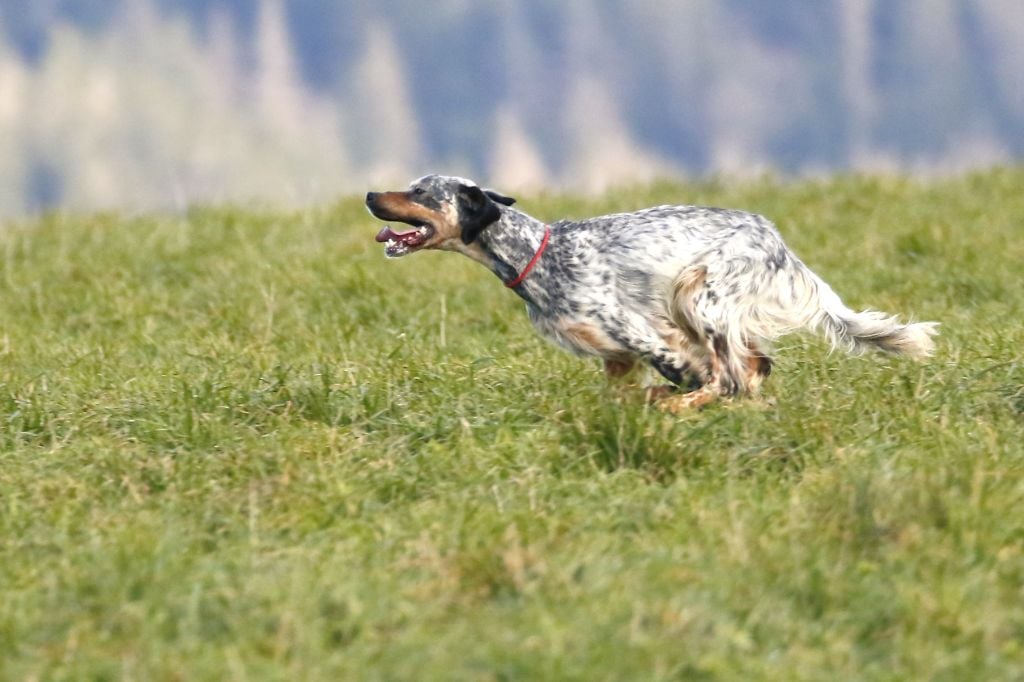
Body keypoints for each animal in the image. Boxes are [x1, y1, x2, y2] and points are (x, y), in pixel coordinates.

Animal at [364, 174, 937, 409]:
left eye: (420, 191)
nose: (369, 194)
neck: (538, 255)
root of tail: (776, 238)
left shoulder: (645, 336)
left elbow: (702, 377)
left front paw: (672, 402)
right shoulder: (615, 358)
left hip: (697, 294)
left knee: (732, 376)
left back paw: (679, 406)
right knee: (754, 366)